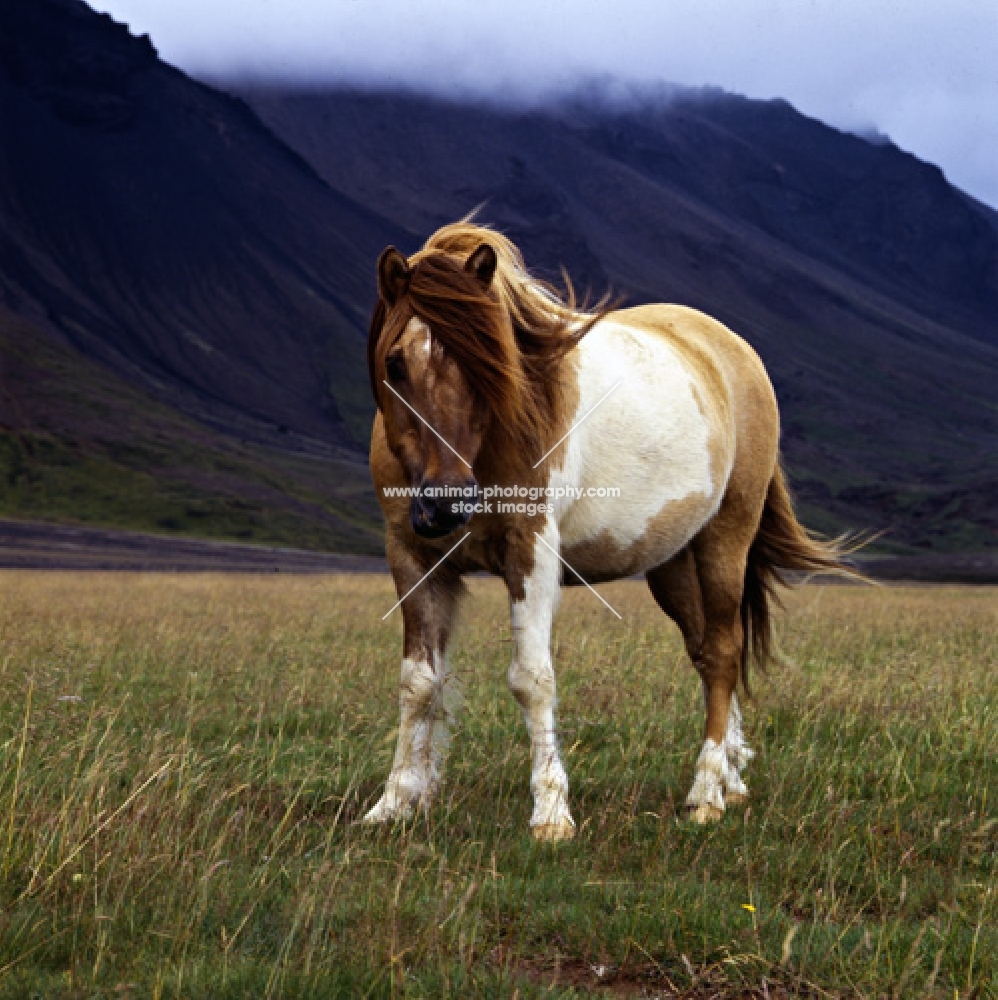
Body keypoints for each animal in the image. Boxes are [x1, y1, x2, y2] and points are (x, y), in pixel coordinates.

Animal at [360, 223, 852, 840]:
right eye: (396, 363)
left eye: (486, 360)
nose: (446, 504)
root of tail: (733, 349)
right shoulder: (413, 559)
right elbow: (420, 684)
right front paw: (396, 802)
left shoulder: (531, 552)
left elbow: (531, 678)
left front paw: (551, 814)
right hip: (673, 565)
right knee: (708, 654)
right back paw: (731, 781)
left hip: (726, 540)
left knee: (722, 652)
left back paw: (705, 794)